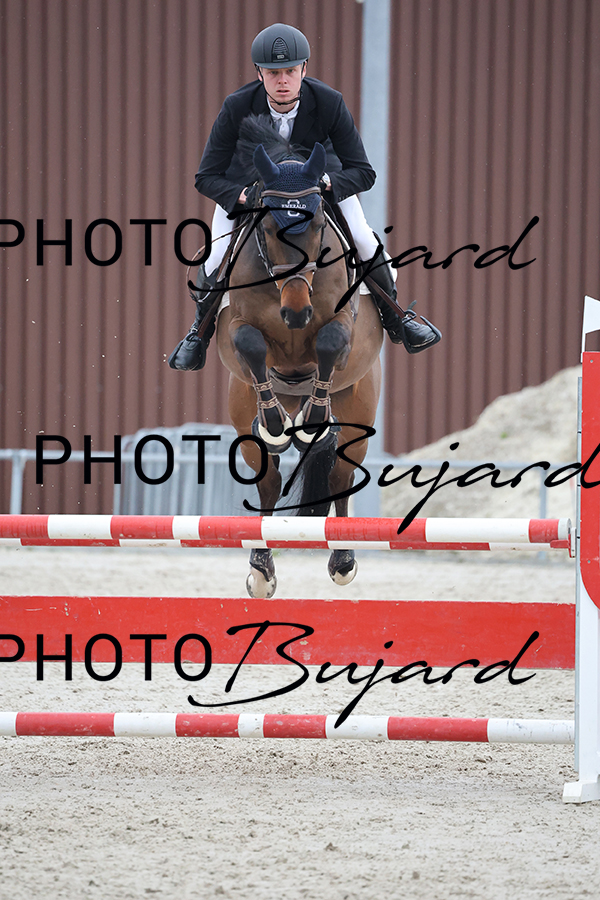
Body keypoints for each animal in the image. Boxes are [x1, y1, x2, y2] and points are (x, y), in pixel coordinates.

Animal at [215, 116, 383, 598]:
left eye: (317, 225)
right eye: (270, 230)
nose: (295, 313)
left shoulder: (342, 325)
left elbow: (327, 343)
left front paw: (310, 423)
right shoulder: (236, 327)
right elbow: (252, 345)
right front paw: (275, 425)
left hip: (358, 412)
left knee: (340, 476)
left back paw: (343, 559)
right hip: (241, 414)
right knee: (268, 482)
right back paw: (261, 569)